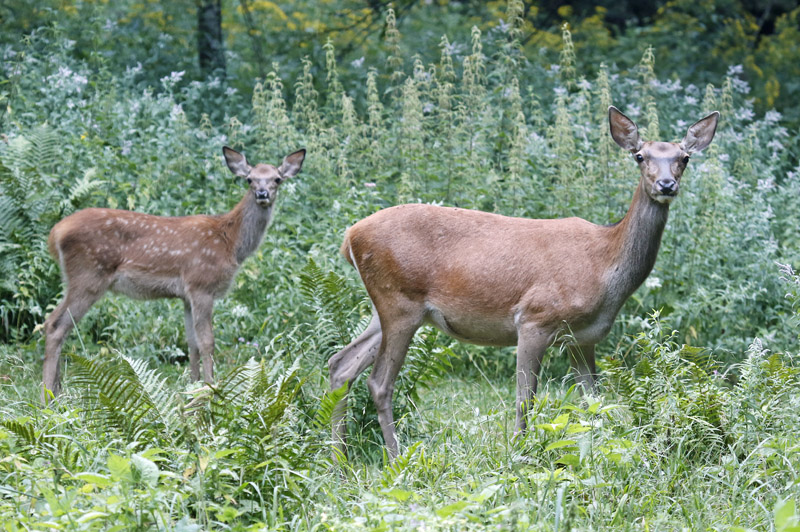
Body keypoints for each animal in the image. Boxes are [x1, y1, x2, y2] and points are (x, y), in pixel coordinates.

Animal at [43, 145, 306, 400]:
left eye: (277, 179)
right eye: (250, 179)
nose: (262, 194)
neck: (230, 243)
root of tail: (55, 232)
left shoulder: (186, 295)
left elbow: (191, 343)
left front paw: (193, 387)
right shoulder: (202, 284)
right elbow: (207, 341)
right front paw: (211, 388)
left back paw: (57, 391)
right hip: (88, 275)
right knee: (55, 325)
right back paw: (48, 396)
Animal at [328, 107, 716, 458]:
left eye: (684, 158)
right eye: (640, 156)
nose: (666, 184)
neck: (605, 267)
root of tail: (350, 237)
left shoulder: (583, 339)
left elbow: (593, 403)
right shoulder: (534, 318)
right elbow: (524, 399)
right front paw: (519, 454)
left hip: (386, 307)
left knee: (340, 364)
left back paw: (338, 459)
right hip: (399, 301)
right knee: (379, 382)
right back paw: (395, 458)